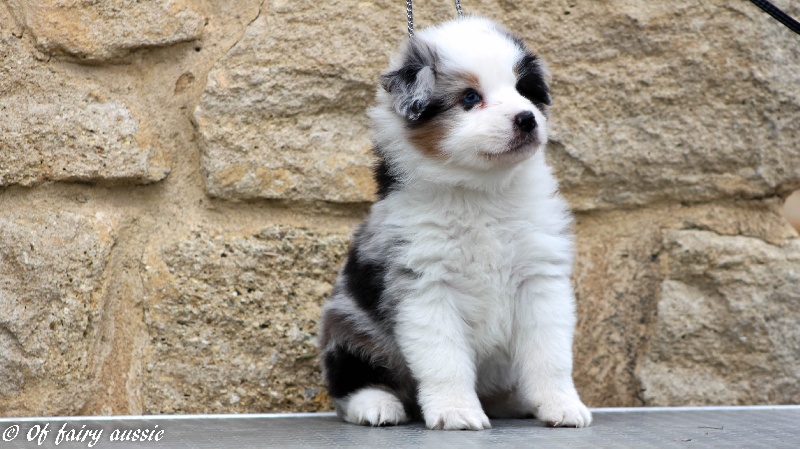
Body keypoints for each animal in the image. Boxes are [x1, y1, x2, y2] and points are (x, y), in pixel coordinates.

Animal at [318, 16, 591, 430]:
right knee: (352, 379)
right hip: (348, 326)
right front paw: (456, 411)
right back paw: (376, 405)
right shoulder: (426, 285)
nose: (527, 119)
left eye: (523, 91)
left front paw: (561, 405)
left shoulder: (539, 279)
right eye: (469, 98)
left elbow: (550, 355)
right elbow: (445, 360)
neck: (480, 191)